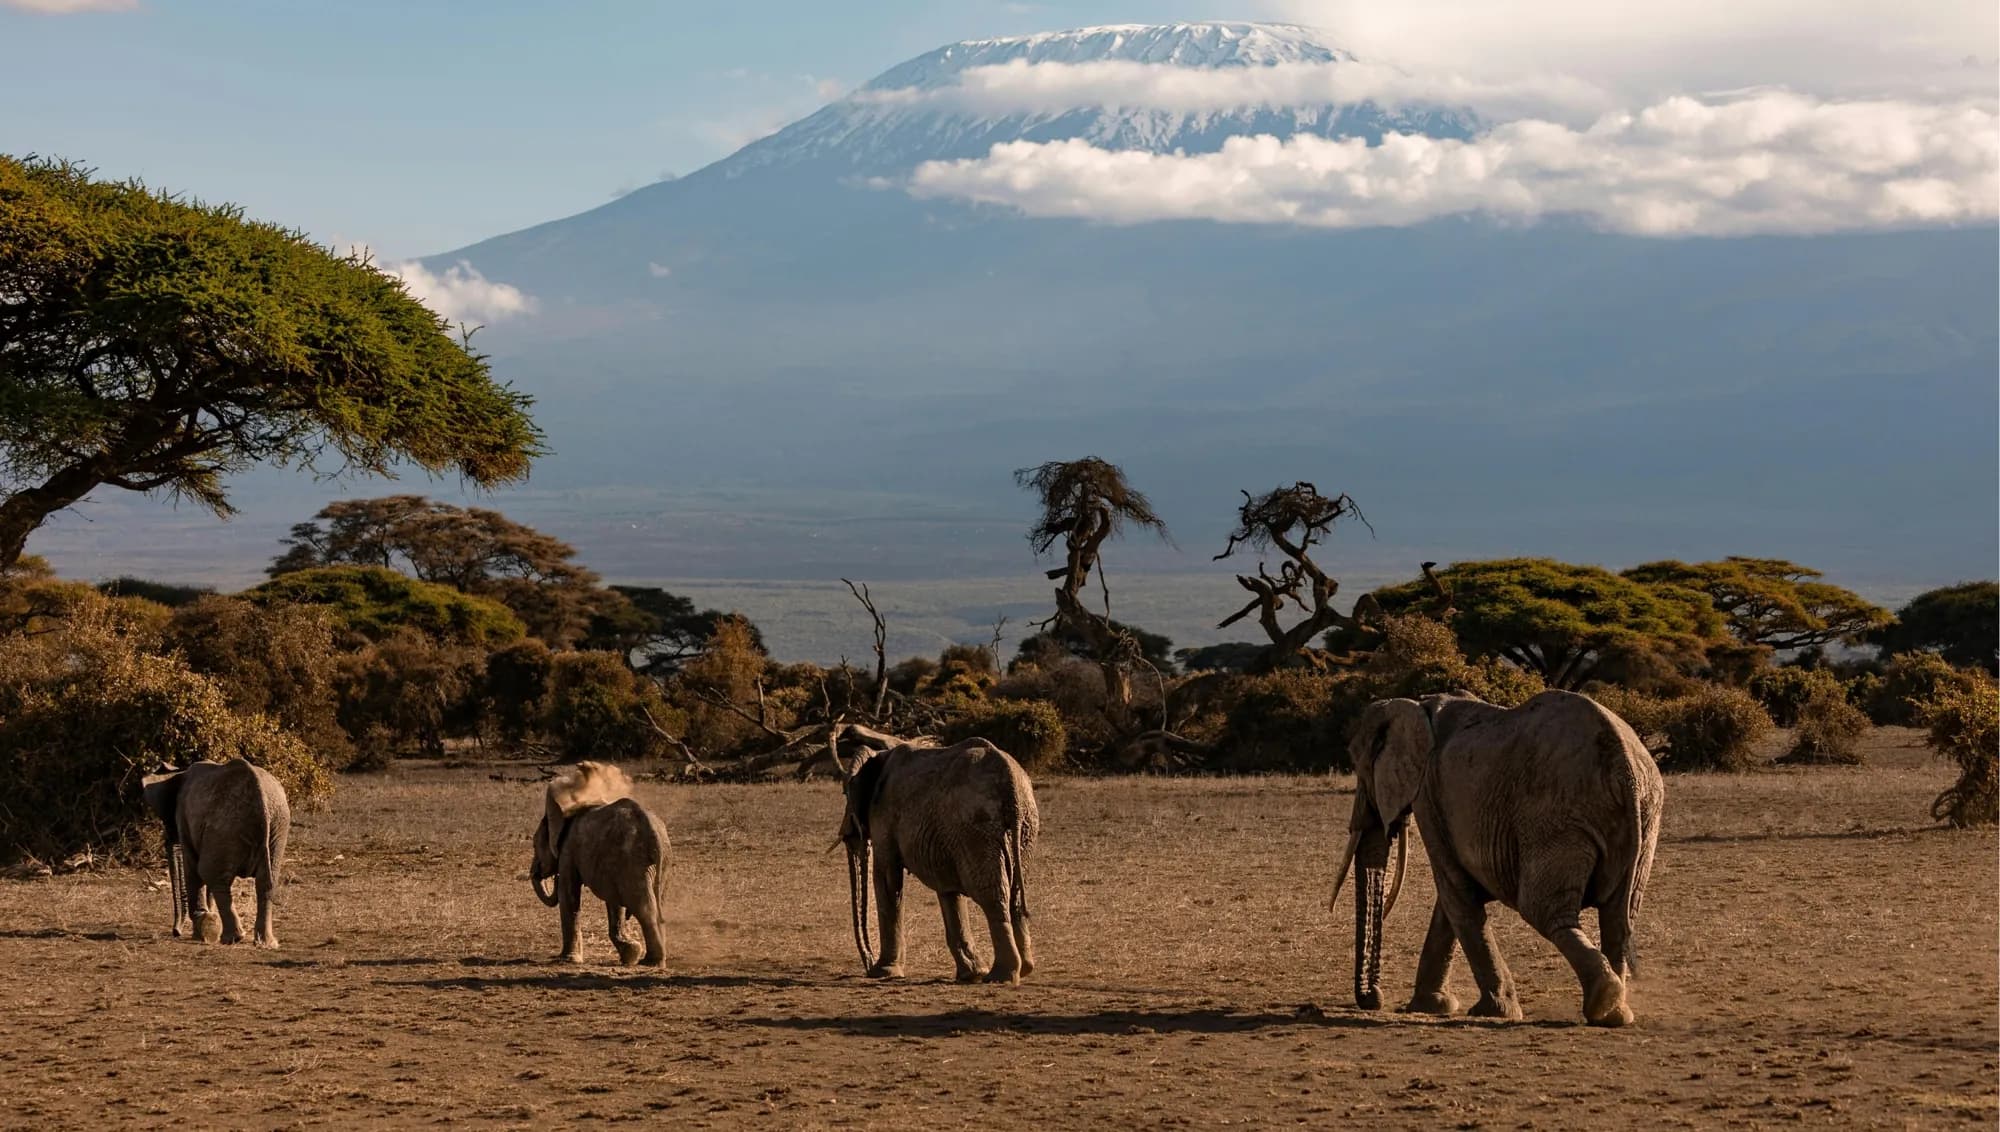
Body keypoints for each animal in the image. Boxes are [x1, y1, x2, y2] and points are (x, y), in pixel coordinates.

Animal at [142, 760, 290, 948]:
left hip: (226, 827)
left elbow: (192, 867)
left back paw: (232, 938)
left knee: (211, 875)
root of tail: (261, 799)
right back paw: (266, 943)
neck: (179, 771)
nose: (176, 932)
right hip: (277, 825)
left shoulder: (184, 816)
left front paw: (200, 930)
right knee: (264, 882)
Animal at [530, 761, 670, 967]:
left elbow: (568, 894)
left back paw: (651, 962)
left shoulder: (569, 849)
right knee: (657, 903)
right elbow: (614, 902)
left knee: (645, 907)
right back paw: (652, 960)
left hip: (634, 861)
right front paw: (631, 954)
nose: (552, 877)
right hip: (656, 862)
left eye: (534, 844)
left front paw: (567, 960)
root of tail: (652, 831)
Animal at [837, 739, 1039, 984]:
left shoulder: (884, 816)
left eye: (845, 792)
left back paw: (1000, 976)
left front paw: (882, 973)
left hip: (977, 827)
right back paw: (1024, 969)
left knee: (991, 895)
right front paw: (971, 974)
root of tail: (1010, 781)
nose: (868, 964)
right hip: (1024, 826)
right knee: (1015, 894)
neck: (879, 755)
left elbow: (886, 878)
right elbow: (947, 888)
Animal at [1331, 689, 1664, 1027]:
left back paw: (1603, 999)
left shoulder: (1428, 795)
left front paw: (1493, 1011)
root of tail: (1624, 768)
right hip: (1643, 816)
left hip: (1555, 818)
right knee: (1618, 916)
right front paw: (1432, 1006)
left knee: (1543, 910)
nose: (1374, 999)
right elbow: (1451, 900)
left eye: (1360, 767)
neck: (1415, 705)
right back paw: (1615, 1013)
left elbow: (1455, 892)